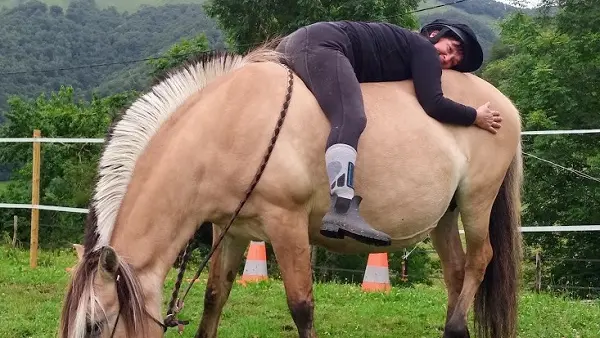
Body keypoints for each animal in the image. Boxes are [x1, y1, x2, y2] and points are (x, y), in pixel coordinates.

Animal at [58, 45, 524, 338]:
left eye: (96, 325)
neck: (228, 126)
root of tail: (502, 104)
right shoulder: (232, 230)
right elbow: (214, 298)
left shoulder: (287, 225)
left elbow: (301, 306)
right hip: (445, 216)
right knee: (457, 272)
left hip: (476, 202)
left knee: (480, 259)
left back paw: (456, 327)